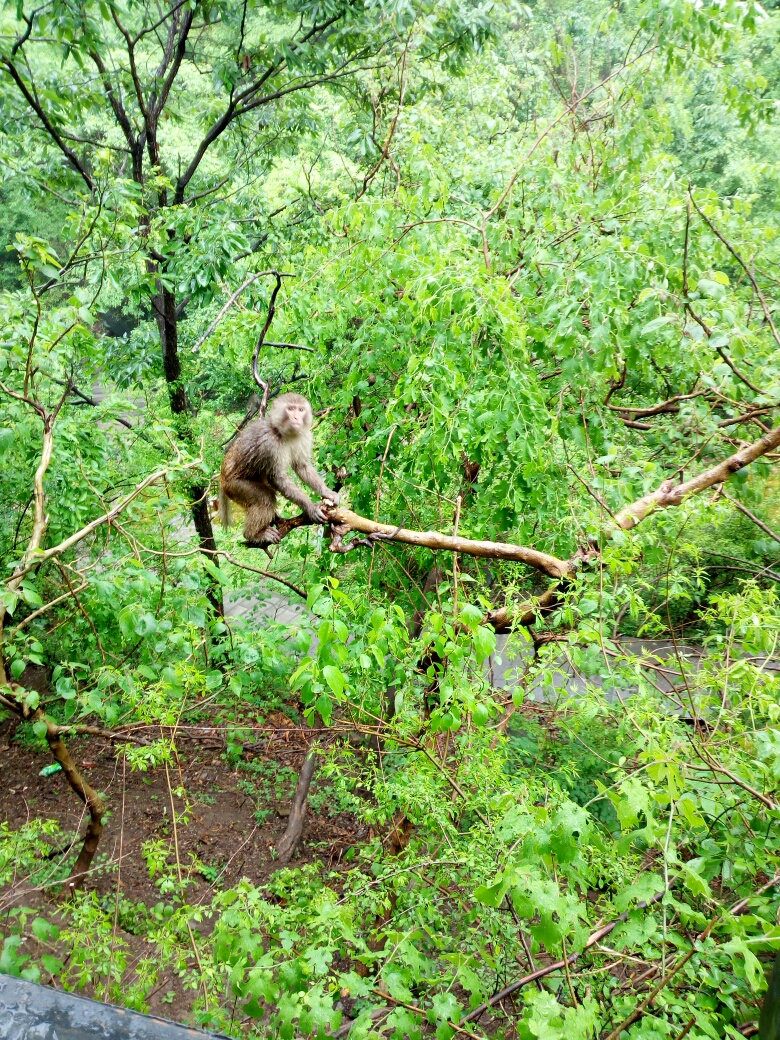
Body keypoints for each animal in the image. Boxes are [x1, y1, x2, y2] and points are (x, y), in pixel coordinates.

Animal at [221, 393, 341, 549]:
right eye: (290, 409)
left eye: (300, 409)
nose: (296, 417)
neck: (283, 433)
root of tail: (222, 477)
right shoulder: (270, 444)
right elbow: (278, 478)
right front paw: (310, 507)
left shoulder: (304, 436)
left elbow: (302, 467)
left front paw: (327, 492)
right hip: (234, 486)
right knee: (266, 497)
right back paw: (253, 535)